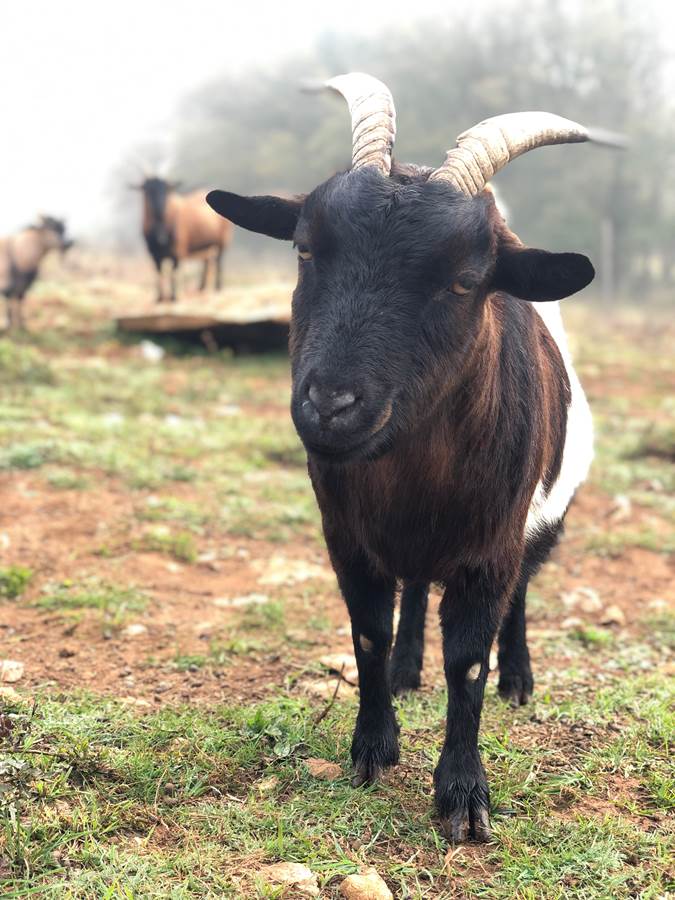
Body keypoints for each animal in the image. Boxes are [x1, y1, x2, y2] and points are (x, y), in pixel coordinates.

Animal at [206, 73, 619, 842]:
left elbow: (469, 662)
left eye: (464, 280)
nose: (331, 404)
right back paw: (406, 667)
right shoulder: (346, 536)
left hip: (540, 522)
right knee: (417, 587)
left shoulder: (490, 545)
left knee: (521, 594)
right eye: (305, 249)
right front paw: (373, 747)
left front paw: (462, 796)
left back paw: (520, 679)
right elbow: (367, 632)